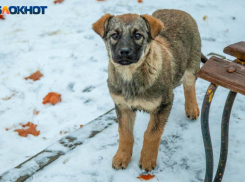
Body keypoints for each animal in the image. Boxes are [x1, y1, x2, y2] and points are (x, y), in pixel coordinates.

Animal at [92, 9, 205, 171]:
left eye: (138, 35)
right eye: (114, 35)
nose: (124, 52)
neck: (130, 75)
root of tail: (178, 10)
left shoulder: (164, 104)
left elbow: (152, 133)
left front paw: (147, 159)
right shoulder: (122, 106)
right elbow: (125, 133)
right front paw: (122, 157)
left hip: (192, 64)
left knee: (189, 85)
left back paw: (191, 108)